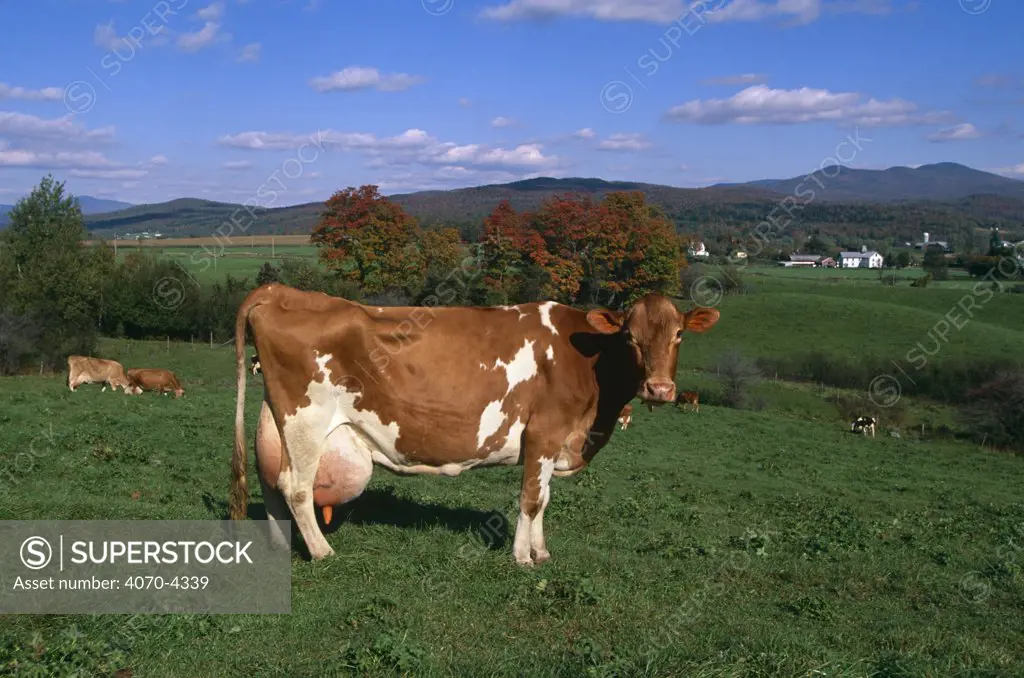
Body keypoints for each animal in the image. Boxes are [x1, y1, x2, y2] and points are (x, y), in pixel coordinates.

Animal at [228, 284, 724, 565]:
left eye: (679, 334)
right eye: (630, 337)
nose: (660, 389)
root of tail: (280, 290)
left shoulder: (554, 443)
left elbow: (544, 500)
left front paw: (542, 552)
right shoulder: (544, 432)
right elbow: (530, 500)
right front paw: (522, 558)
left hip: (280, 421)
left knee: (272, 482)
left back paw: (282, 548)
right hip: (306, 419)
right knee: (295, 487)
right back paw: (323, 552)